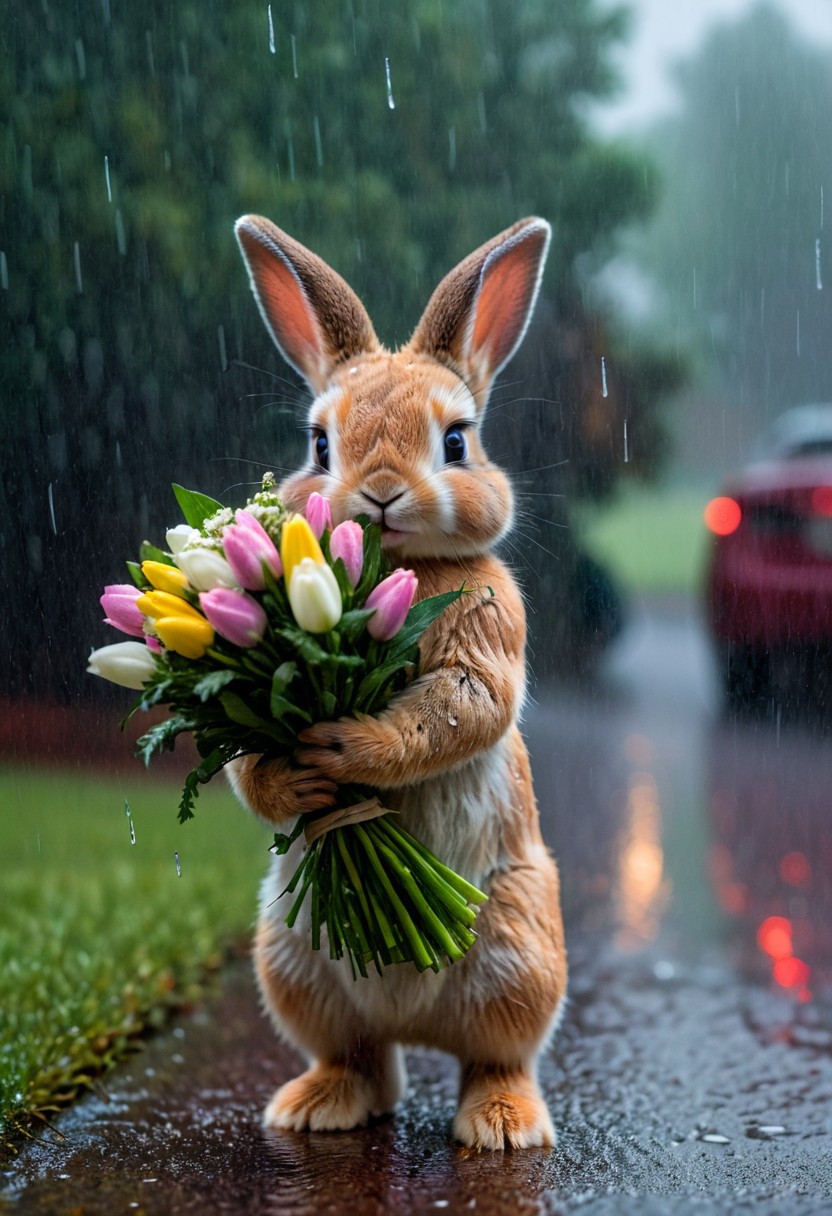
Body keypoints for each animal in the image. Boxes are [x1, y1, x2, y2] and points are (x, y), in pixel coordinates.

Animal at [227, 214, 567, 1151]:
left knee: (496, 1057)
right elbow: (247, 767)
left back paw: (501, 1126)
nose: (379, 493)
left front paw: (343, 745)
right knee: (360, 1057)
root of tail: (414, 1018)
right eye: (319, 444)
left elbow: (460, 710)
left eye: (456, 441)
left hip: (518, 950)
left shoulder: (483, 643)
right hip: (291, 954)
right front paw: (299, 775)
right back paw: (312, 1110)